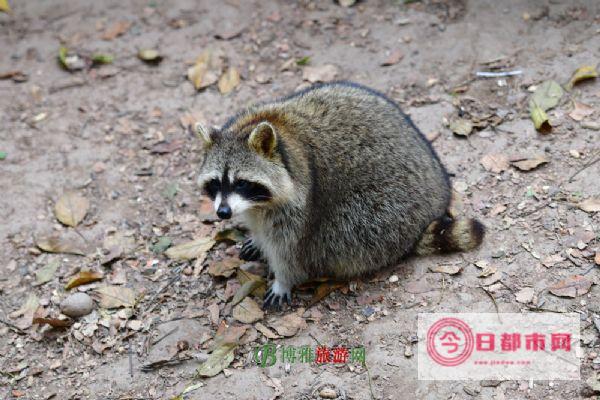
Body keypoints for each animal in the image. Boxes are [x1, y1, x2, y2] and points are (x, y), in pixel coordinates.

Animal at [196, 81, 482, 310]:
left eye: (242, 183)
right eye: (215, 183)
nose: (223, 213)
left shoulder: (302, 201)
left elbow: (290, 248)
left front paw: (283, 279)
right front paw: (256, 237)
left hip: (389, 211)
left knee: (345, 231)